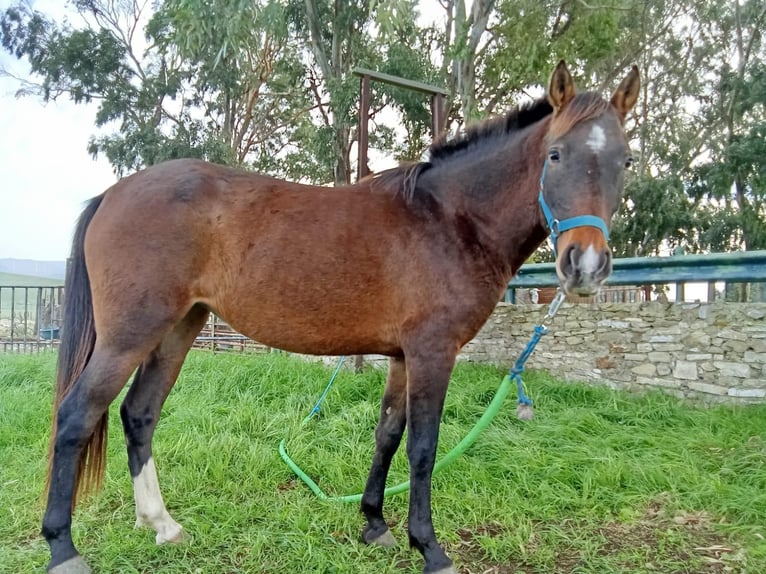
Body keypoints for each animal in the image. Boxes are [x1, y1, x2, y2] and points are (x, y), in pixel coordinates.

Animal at [42, 60, 639, 574]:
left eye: (626, 161)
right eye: (555, 155)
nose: (586, 265)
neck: (449, 219)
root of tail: (112, 192)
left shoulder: (403, 356)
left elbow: (388, 434)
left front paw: (375, 523)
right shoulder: (433, 352)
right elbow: (423, 449)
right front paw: (430, 548)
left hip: (178, 327)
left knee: (139, 414)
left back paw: (162, 525)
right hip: (130, 334)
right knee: (76, 415)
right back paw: (63, 548)